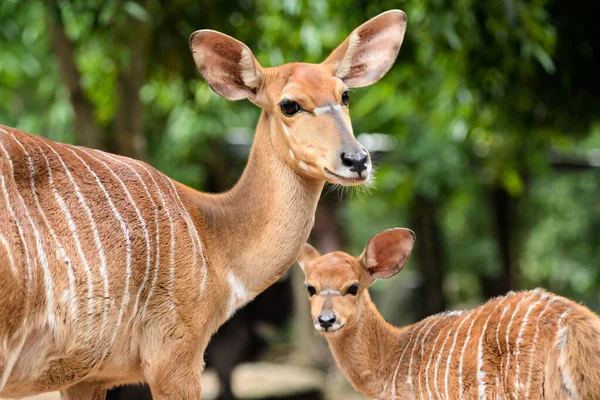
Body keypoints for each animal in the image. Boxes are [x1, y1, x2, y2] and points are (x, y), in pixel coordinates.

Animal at [0, 9, 408, 400]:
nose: (357, 160)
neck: (213, 236)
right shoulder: (176, 355)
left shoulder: (87, 377)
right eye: (289, 104)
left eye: (345, 95)